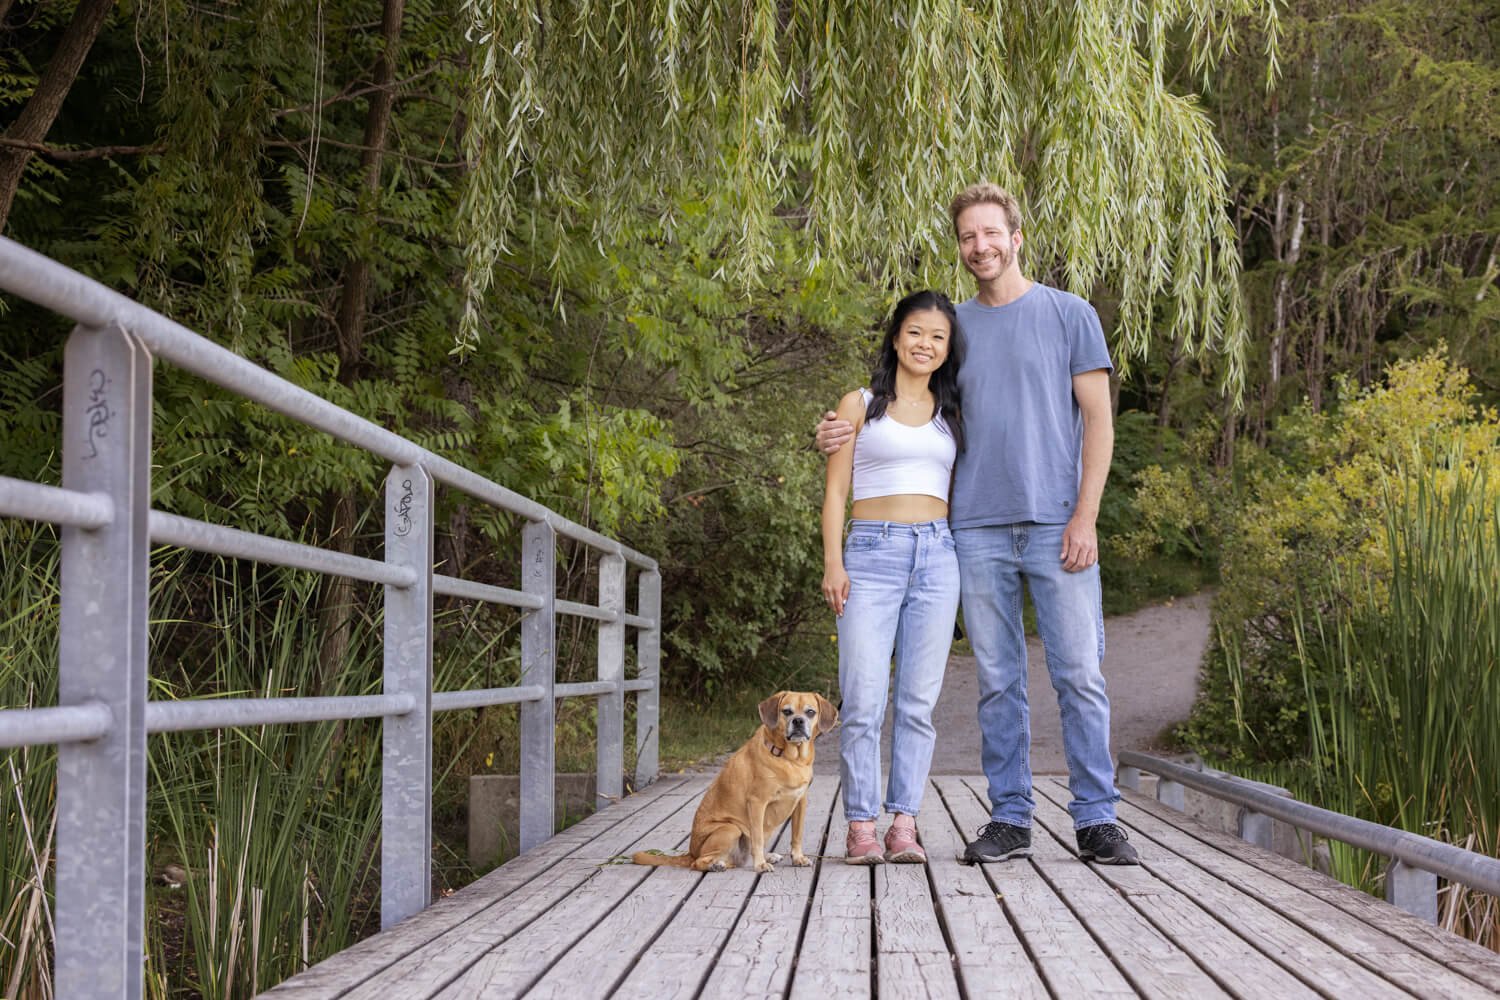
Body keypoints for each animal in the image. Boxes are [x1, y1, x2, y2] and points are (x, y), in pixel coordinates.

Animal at [633, 692, 840, 869]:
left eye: (810, 712)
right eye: (786, 711)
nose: (798, 721)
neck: (791, 759)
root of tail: (691, 852)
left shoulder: (800, 802)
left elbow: (797, 835)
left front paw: (797, 858)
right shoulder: (757, 803)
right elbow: (757, 838)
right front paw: (760, 865)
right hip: (730, 829)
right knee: (699, 862)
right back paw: (717, 865)